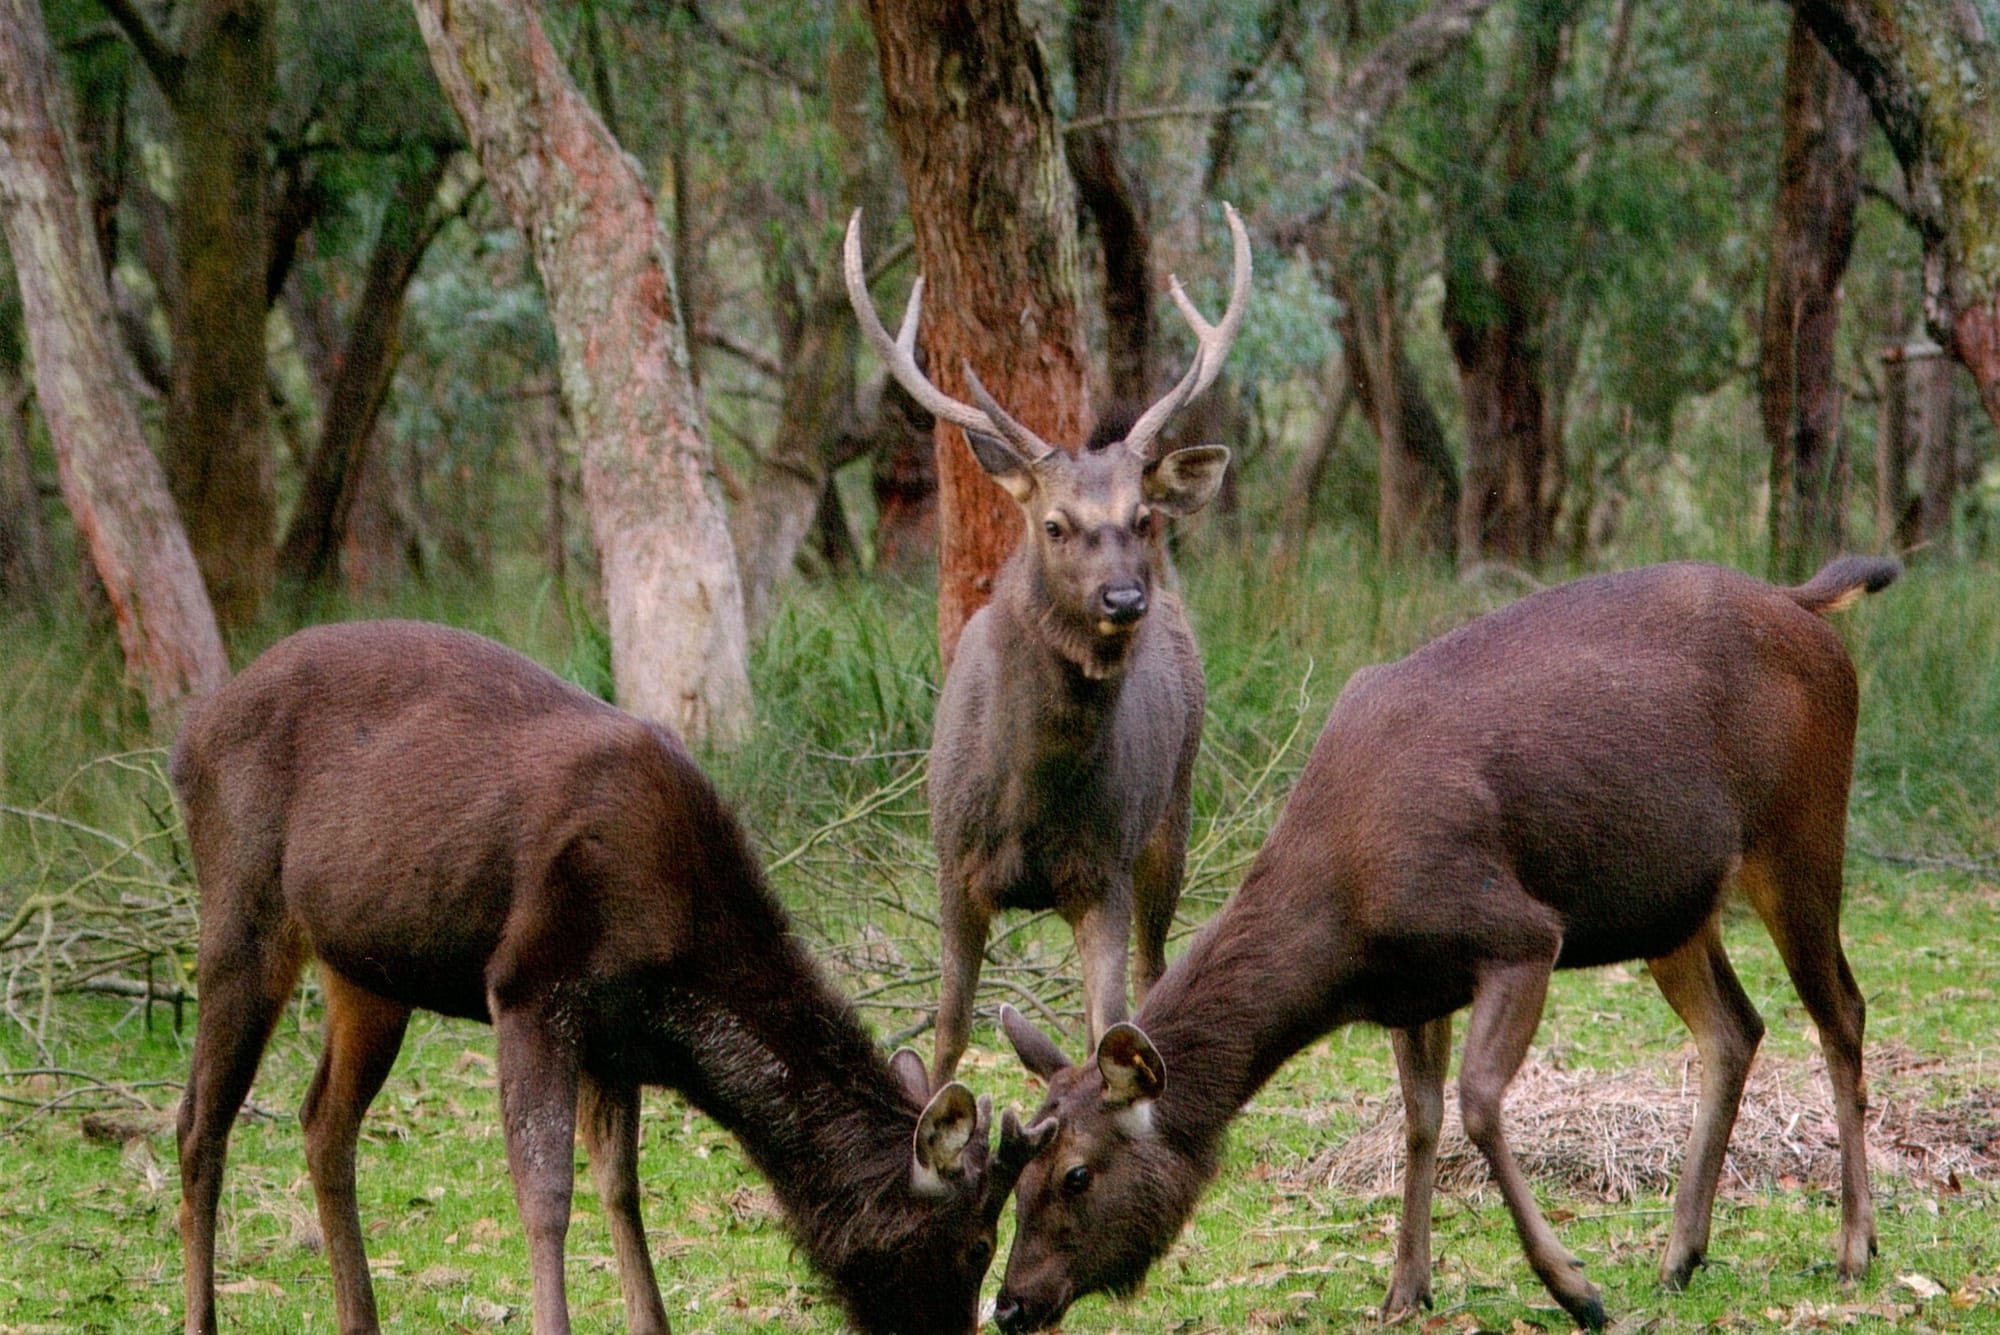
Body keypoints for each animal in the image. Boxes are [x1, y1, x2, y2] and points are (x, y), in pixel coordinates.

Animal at [169, 619, 1053, 1335]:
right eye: (977, 1240)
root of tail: (187, 740)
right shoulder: (529, 984)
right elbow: (546, 1191)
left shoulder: (615, 1034)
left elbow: (621, 1186)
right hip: (241, 907)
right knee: (198, 1122)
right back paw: (202, 1316)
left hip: (369, 970)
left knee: (323, 1119)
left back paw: (359, 1316)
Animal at [842, 205, 1249, 1091]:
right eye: (1055, 524)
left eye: (1141, 516)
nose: (1124, 598)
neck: (1032, 798)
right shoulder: (952, 861)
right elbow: (949, 1032)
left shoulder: (1105, 868)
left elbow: (1109, 1027)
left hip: (1173, 811)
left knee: (1154, 969)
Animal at [989, 555, 1900, 1332]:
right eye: (1017, 1174)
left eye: (1075, 1172)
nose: (1010, 1303)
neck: (1345, 922)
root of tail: (1805, 602)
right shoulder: (1412, 987)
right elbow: (1421, 1120)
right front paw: (1405, 1286)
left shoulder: (1520, 933)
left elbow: (1478, 1100)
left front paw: (1573, 1286)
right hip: (1673, 906)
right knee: (1735, 1026)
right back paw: (1681, 1254)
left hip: (1801, 831)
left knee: (1841, 1011)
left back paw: (1854, 1246)